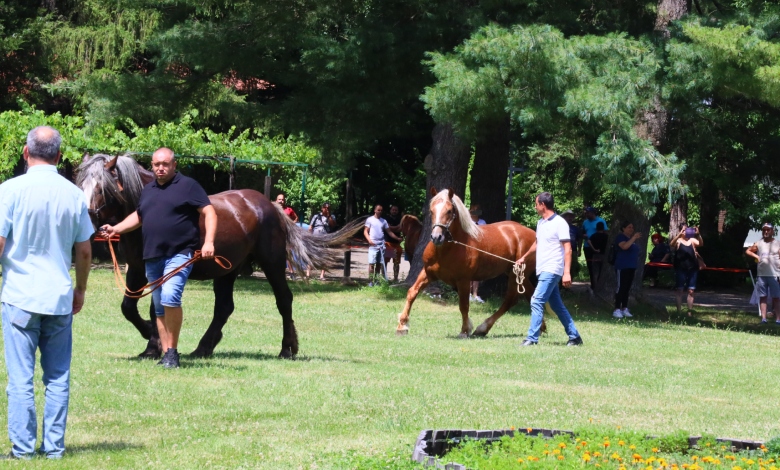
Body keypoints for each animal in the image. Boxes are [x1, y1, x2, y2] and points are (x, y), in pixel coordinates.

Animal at [76, 152, 362, 358]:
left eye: (102, 187)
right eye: (81, 183)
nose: (86, 218)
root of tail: (271, 207)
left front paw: (153, 339)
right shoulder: (137, 268)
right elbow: (130, 307)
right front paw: (150, 342)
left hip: (272, 264)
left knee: (284, 300)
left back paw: (286, 348)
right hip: (228, 270)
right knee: (224, 307)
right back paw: (204, 347)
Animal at [400, 187, 540, 338]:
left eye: (449, 211)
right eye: (431, 211)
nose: (437, 237)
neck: (448, 248)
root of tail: (534, 234)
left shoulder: (463, 280)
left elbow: (464, 305)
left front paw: (465, 330)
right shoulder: (428, 273)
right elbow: (412, 292)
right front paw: (402, 325)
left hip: (516, 276)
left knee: (510, 301)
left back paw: (483, 328)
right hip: (519, 275)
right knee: (531, 295)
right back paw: (542, 327)